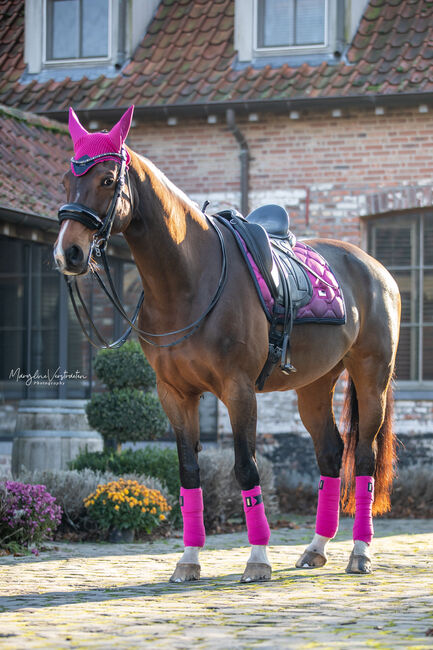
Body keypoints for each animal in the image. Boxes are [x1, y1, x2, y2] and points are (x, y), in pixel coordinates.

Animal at [54, 106, 402, 584]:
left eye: (107, 179)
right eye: (66, 179)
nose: (68, 252)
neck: (188, 279)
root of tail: (375, 269)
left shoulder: (238, 391)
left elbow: (245, 468)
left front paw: (257, 559)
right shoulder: (174, 394)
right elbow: (188, 474)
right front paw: (188, 560)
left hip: (371, 378)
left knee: (363, 459)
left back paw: (360, 553)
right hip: (314, 386)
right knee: (331, 455)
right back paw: (315, 548)